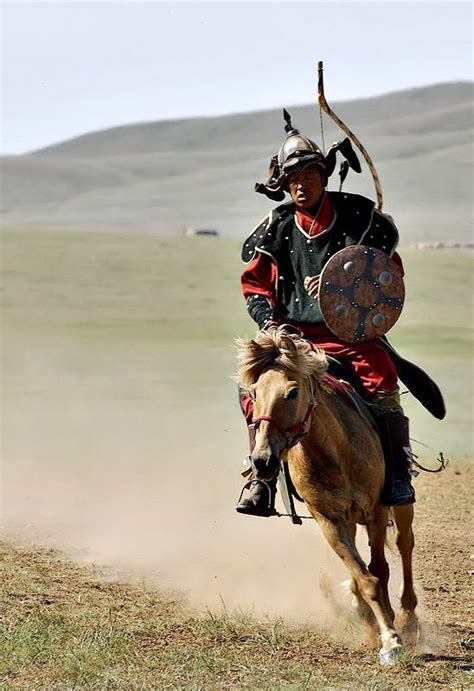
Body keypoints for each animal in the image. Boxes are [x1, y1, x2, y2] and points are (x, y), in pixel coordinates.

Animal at [237, 328, 418, 664]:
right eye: (253, 394)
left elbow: (380, 570)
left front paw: (392, 635)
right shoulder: (330, 521)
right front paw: (382, 632)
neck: (336, 455)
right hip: (348, 519)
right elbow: (366, 578)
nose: (263, 462)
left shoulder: (376, 511)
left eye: (292, 392)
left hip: (400, 506)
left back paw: (410, 618)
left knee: (405, 544)